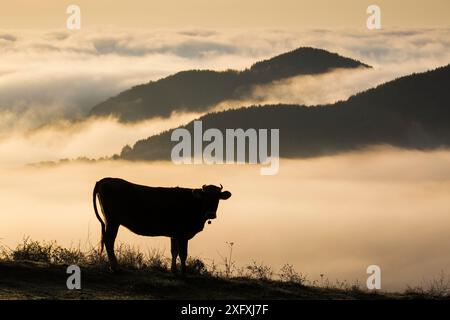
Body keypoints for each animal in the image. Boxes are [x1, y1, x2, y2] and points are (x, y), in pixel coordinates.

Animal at [92, 178, 232, 276]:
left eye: (217, 198)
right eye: (205, 197)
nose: (211, 214)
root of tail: (104, 180)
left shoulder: (174, 234)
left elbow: (174, 251)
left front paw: (173, 270)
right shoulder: (183, 234)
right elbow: (183, 254)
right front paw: (183, 273)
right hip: (112, 221)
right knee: (109, 241)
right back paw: (115, 268)